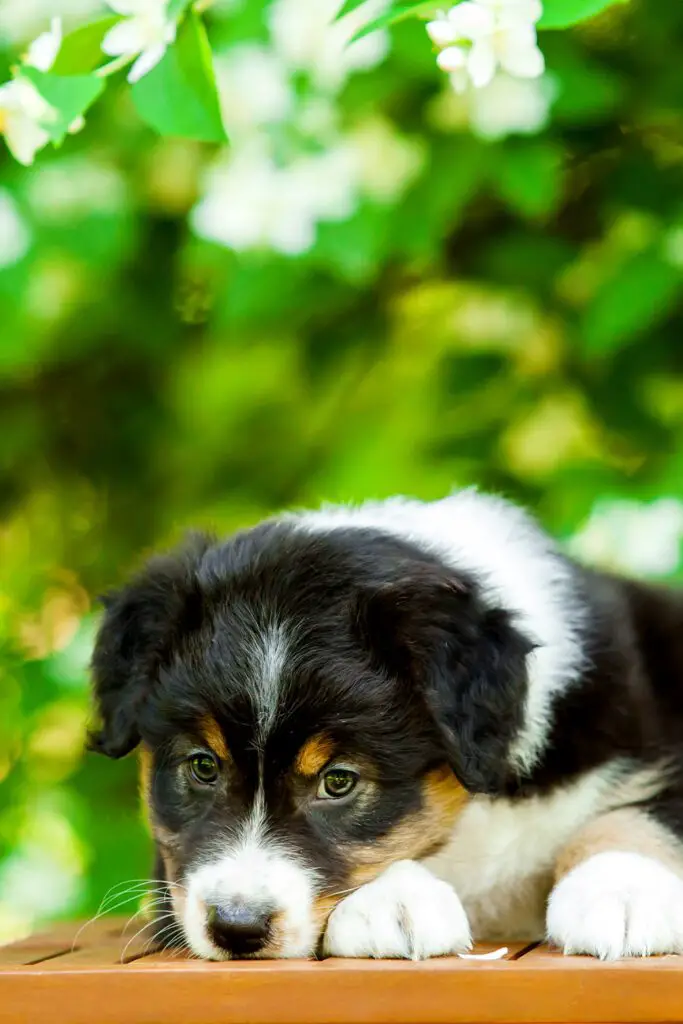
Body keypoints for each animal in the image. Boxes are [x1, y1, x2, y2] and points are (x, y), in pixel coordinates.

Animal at [88, 491, 683, 962]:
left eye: (339, 780)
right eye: (203, 766)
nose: (237, 927)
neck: (474, 815)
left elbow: (631, 818)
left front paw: (623, 891)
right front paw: (393, 901)